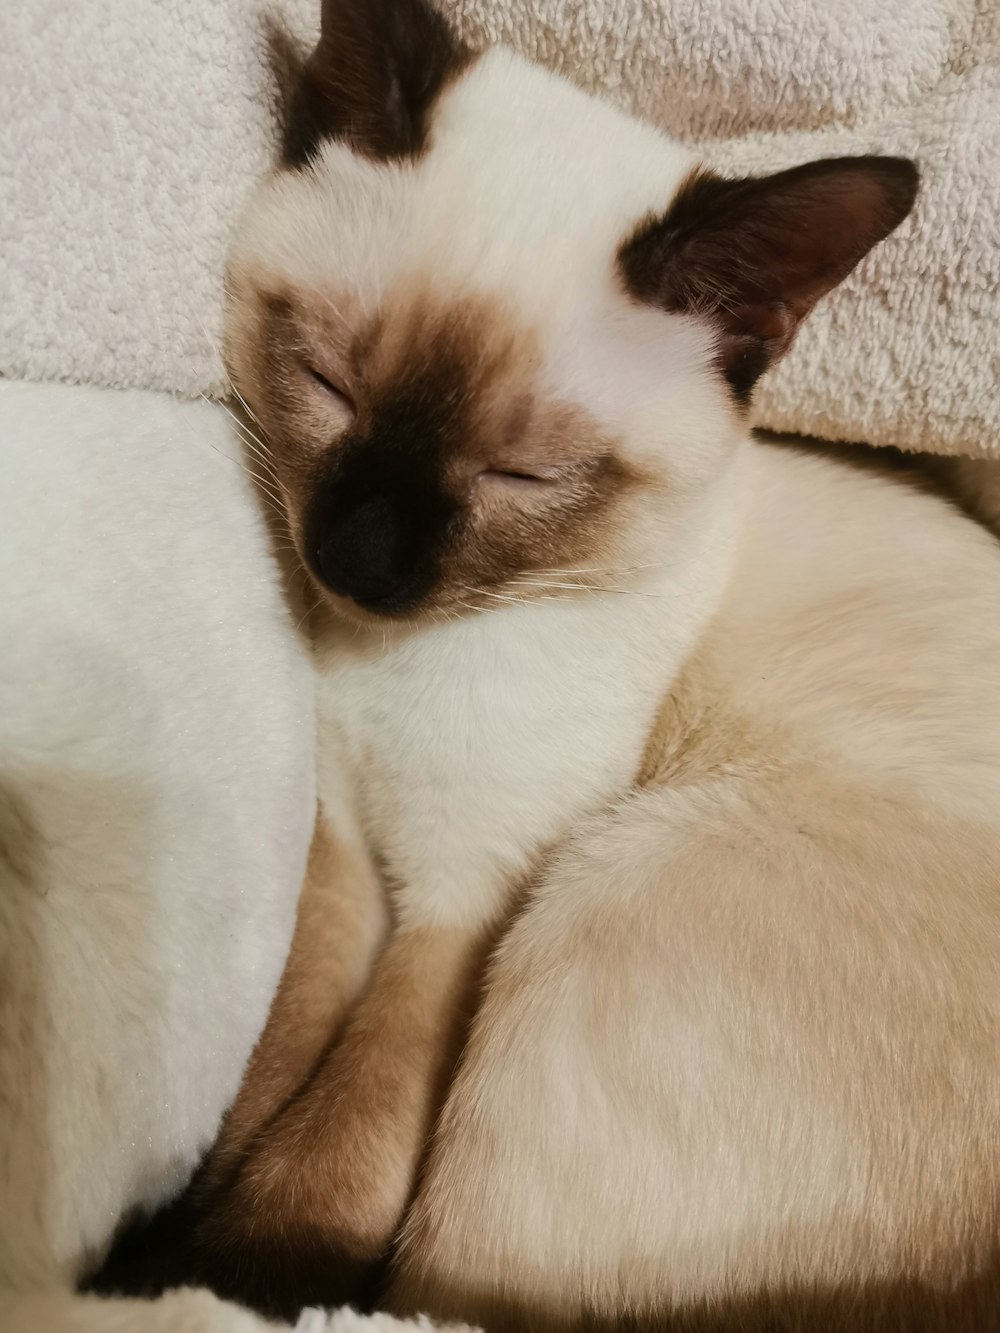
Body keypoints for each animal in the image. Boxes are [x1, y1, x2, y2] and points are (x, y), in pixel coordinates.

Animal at [98, 2, 1000, 1333]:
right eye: (327, 384)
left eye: (521, 474)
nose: (357, 561)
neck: (386, 663)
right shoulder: (347, 854)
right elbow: (271, 1066)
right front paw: (169, 1247)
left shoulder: (463, 908)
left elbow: (325, 1167)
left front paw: (231, 1280)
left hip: (609, 882)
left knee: (432, 1277)